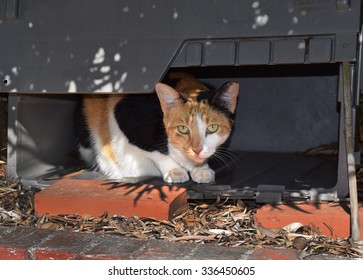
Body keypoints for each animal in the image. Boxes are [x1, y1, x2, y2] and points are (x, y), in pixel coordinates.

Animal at [74, 72, 239, 184]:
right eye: (183, 129)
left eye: (212, 127)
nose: (197, 149)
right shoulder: (128, 116)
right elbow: (156, 151)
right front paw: (175, 171)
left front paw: (202, 169)